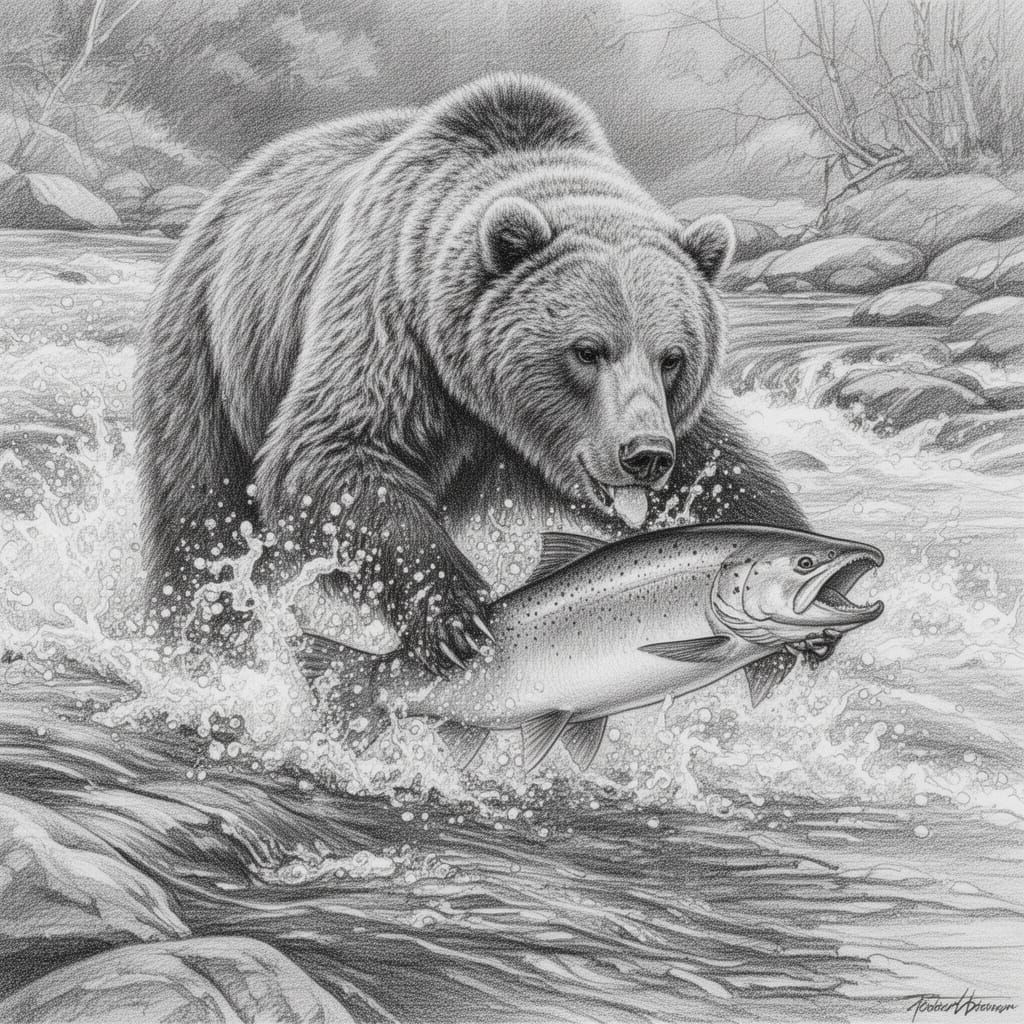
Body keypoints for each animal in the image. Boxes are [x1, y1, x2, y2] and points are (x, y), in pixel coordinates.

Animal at [135, 73, 807, 669]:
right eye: (587, 350)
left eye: (672, 357)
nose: (643, 455)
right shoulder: (391, 320)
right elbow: (332, 452)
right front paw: (458, 616)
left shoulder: (665, 423)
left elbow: (724, 471)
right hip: (207, 355)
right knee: (204, 534)